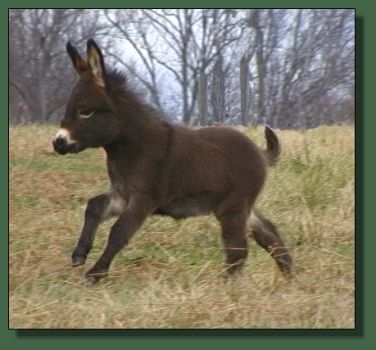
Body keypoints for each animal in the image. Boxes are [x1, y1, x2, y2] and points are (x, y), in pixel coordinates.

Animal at [53, 39, 294, 284]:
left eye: (85, 112)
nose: (58, 143)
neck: (133, 147)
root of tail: (260, 153)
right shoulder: (122, 194)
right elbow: (93, 207)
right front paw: (79, 254)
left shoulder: (143, 199)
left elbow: (119, 232)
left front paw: (95, 273)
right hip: (240, 206)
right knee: (268, 233)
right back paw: (289, 277)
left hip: (233, 208)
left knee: (238, 251)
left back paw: (226, 285)